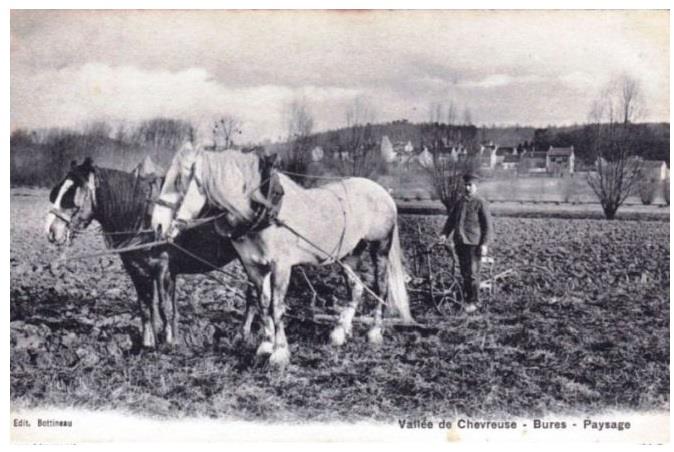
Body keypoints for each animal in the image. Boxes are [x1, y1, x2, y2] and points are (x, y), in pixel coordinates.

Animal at [46, 159, 252, 350]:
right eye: (56, 193)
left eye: (72, 196)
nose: (51, 231)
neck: (144, 218)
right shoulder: (137, 270)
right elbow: (145, 307)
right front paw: (148, 343)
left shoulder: (162, 269)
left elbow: (163, 307)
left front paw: (169, 342)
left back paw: (242, 335)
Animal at [152, 147, 412, 370]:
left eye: (179, 180)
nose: (157, 225)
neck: (264, 210)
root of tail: (382, 192)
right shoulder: (254, 267)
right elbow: (263, 303)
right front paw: (265, 346)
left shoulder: (281, 266)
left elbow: (276, 307)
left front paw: (279, 353)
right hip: (349, 254)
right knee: (356, 288)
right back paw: (339, 332)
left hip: (380, 247)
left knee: (380, 288)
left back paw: (374, 332)